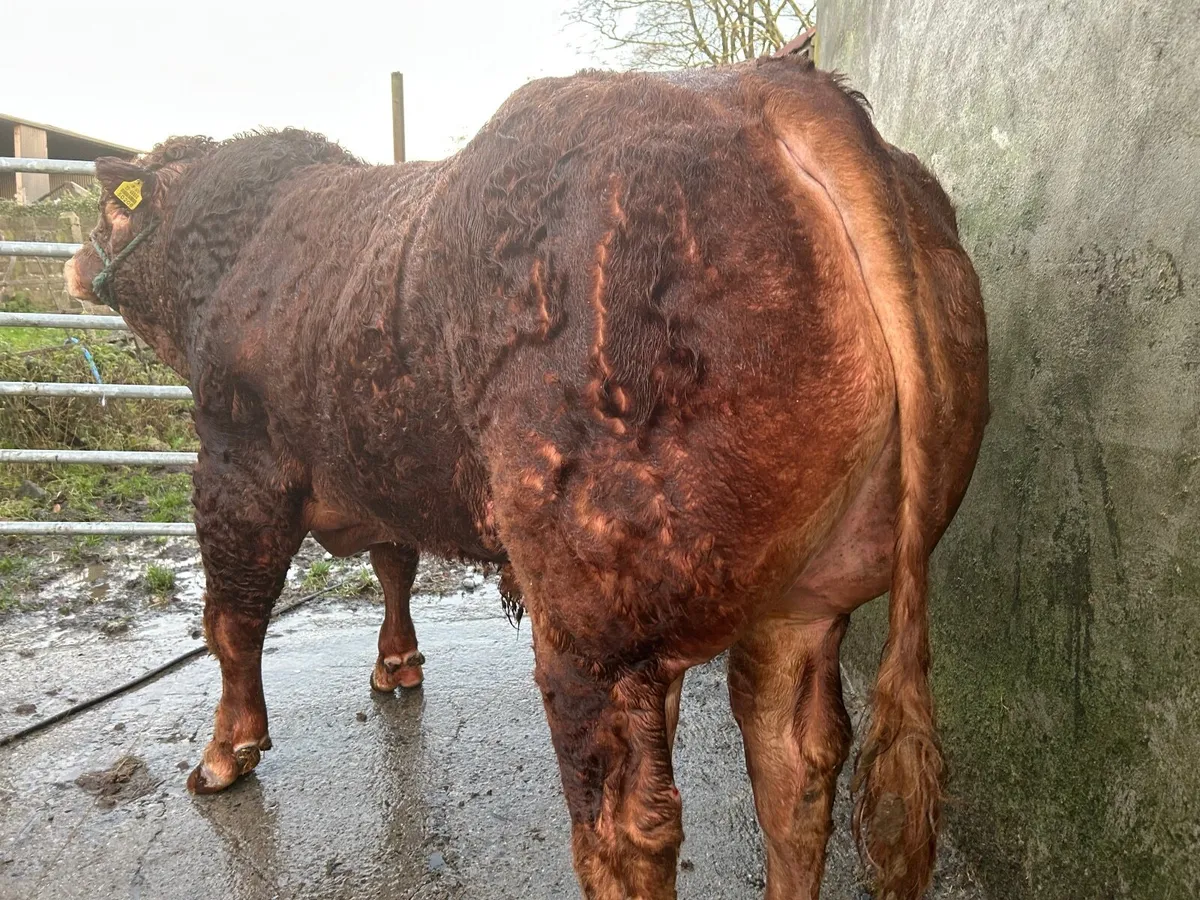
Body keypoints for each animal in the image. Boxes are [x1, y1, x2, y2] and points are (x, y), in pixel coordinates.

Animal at [65, 56, 987, 900]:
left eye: (109, 211)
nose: (73, 263)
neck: (234, 253)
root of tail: (772, 86)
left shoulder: (237, 460)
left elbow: (232, 619)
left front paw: (228, 751)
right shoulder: (387, 463)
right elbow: (395, 563)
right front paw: (397, 664)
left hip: (588, 624)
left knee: (626, 826)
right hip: (801, 600)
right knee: (793, 770)